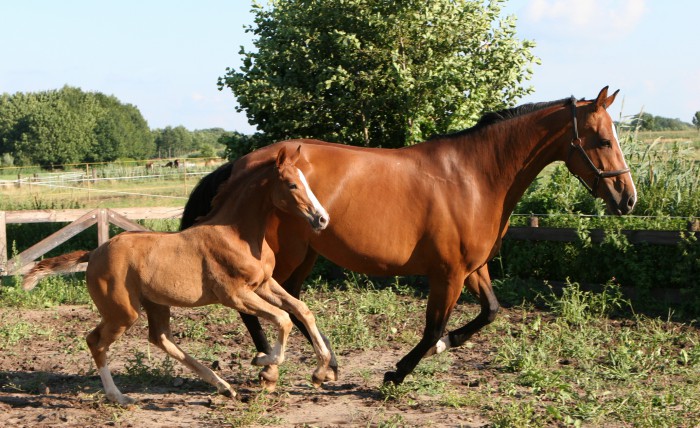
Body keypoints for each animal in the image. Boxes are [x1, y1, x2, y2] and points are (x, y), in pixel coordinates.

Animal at [23, 145, 334, 402]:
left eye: (307, 182)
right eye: (292, 184)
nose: (322, 219)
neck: (238, 234)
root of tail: (93, 254)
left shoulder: (264, 284)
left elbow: (302, 310)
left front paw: (320, 373)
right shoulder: (235, 295)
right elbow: (283, 318)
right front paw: (264, 363)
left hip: (154, 304)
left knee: (160, 338)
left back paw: (224, 387)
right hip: (123, 312)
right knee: (96, 342)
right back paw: (118, 397)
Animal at [183, 86, 636, 384]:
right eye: (602, 140)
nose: (627, 198)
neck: (474, 177)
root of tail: (240, 166)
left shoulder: (473, 268)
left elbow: (490, 311)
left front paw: (446, 346)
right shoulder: (448, 274)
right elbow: (432, 327)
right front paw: (397, 372)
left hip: (304, 253)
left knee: (292, 304)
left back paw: (325, 363)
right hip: (283, 254)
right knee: (257, 306)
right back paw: (268, 361)